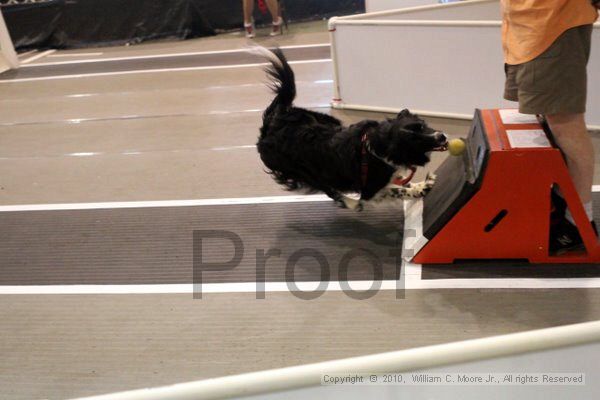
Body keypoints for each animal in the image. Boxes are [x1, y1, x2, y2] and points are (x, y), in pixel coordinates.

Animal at [255, 47, 448, 209]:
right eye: (416, 141)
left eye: (422, 125)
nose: (442, 137)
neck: (377, 145)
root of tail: (274, 121)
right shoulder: (370, 190)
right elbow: (395, 189)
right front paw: (419, 187)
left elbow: (400, 183)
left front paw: (419, 186)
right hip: (302, 171)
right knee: (328, 189)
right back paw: (350, 202)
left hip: (325, 120)